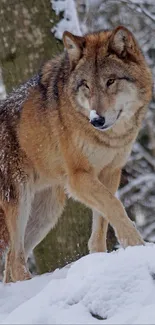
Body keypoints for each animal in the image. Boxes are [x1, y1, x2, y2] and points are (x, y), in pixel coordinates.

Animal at [0, 25, 152, 280]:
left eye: (110, 81)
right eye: (86, 85)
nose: (96, 120)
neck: (109, 138)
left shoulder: (110, 173)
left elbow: (102, 222)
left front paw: (100, 259)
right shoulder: (78, 177)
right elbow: (115, 206)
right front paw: (136, 245)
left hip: (46, 213)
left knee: (10, 262)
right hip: (19, 202)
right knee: (15, 261)